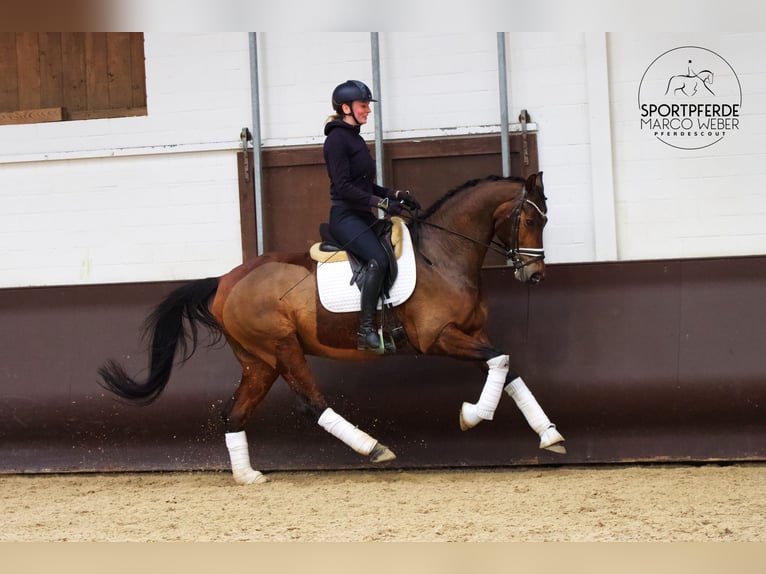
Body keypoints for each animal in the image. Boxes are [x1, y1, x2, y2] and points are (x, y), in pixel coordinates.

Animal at [98, 171, 565, 485]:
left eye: (544, 220)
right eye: (530, 221)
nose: (535, 275)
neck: (444, 256)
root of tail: (225, 281)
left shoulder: (473, 334)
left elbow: (507, 368)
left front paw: (550, 435)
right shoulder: (437, 338)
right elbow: (500, 361)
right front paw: (473, 415)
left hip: (259, 361)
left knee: (234, 413)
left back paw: (248, 475)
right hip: (282, 347)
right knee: (311, 403)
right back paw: (372, 447)